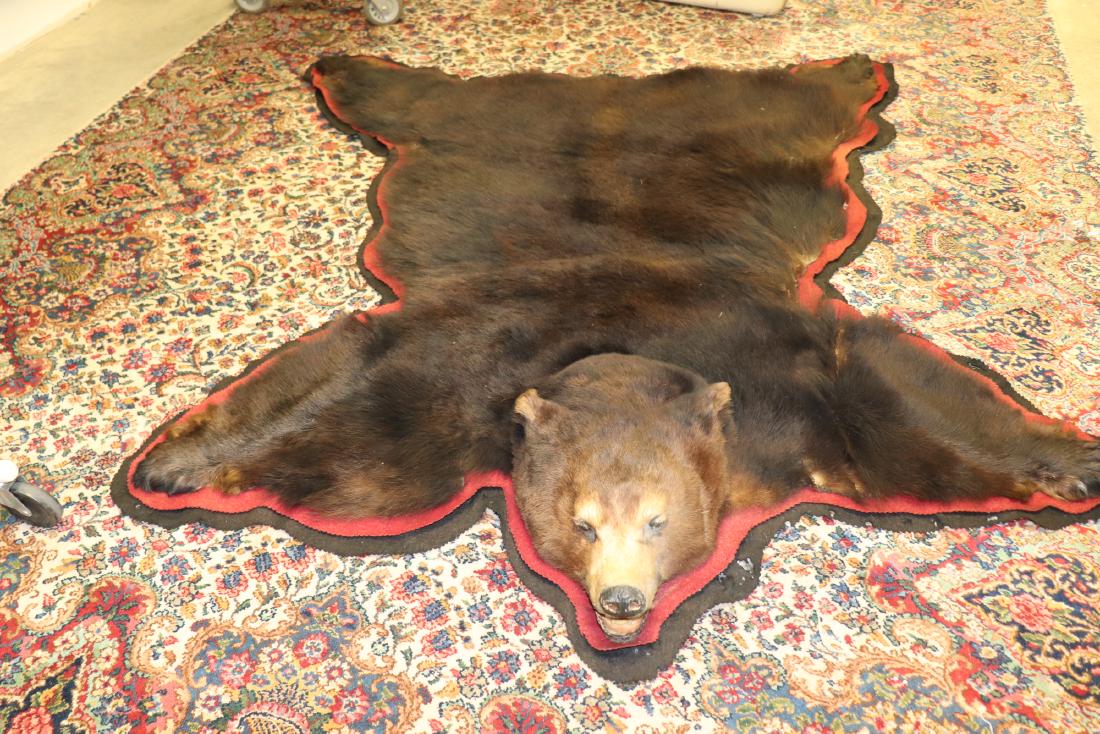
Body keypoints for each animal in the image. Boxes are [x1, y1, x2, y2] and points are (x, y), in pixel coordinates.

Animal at [132, 54, 1100, 642]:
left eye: (659, 521)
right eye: (582, 522)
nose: (622, 600)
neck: (620, 359)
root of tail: (604, 86)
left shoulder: (788, 390)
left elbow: (900, 411)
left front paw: (1071, 460)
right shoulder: (467, 376)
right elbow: (359, 427)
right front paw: (177, 460)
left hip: (750, 133)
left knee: (800, 99)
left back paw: (855, 66)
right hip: (489, 124)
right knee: (426, 97)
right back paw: (346, 65)